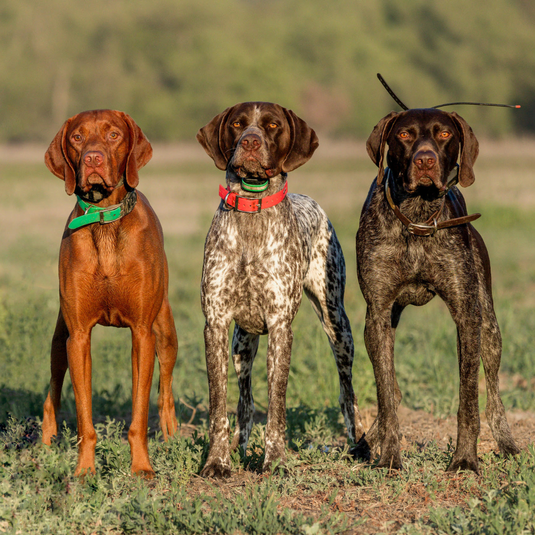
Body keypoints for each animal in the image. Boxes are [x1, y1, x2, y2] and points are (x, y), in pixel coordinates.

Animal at [42, 109, 179, 478]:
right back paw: (44, 443)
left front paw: (142, 467)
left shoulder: (143, 334)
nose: (93, 158)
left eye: (114, 135)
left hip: (166, 333)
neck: (104, 219)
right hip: (59, 342)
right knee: (51, 393)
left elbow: (139, 412)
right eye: (77, 137)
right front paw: (85, 470)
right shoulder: (78, 337)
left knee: (165, 390)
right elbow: (84, 416)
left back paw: (171, 435)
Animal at [197, 101, 368, 478]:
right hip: (241, 344)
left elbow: (277, 405)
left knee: (347, 391)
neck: (251, 211)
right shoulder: (216, 324)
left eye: (272, 125)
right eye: (237, 124)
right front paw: (218, 461)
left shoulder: (279, 327)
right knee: (245, 402)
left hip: (338, 325)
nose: (249, 141)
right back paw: (240, 447)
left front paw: (275, 460)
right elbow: (219, 407)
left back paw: (359, 443)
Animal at [356, 109, 520, 474]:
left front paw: (465, 459)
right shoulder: (378, 314)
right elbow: (385, 395)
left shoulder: (468, 316)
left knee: (493, 393)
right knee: (391, 392)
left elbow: (469, 399)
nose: (425, 160)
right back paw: (366, 441)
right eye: (404, 135)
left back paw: (506, 443)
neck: (417, 218)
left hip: (490, 330)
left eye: (444, 134)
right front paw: (389, 457)